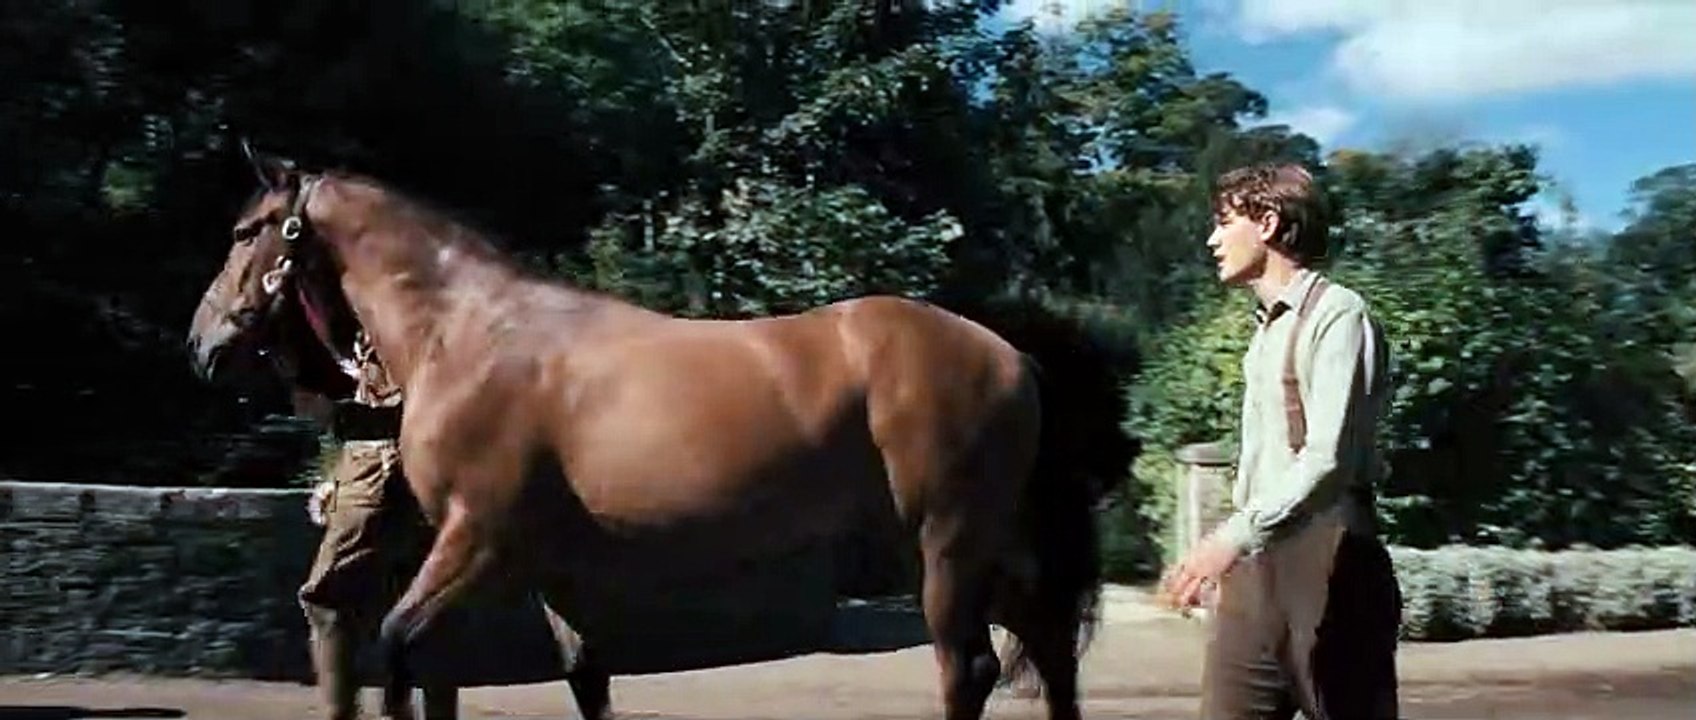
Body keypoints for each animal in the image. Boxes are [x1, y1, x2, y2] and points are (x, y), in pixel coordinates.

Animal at [186, 149, 1105, 720]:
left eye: (245, 231)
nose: (202, 344)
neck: (472, 333)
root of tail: (1010, 355)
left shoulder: (480, 541)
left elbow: (401, 646)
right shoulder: (549, 566)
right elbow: (584, 677)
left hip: (946, 541)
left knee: (971, 667)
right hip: (975, 546)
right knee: (1050, 646)